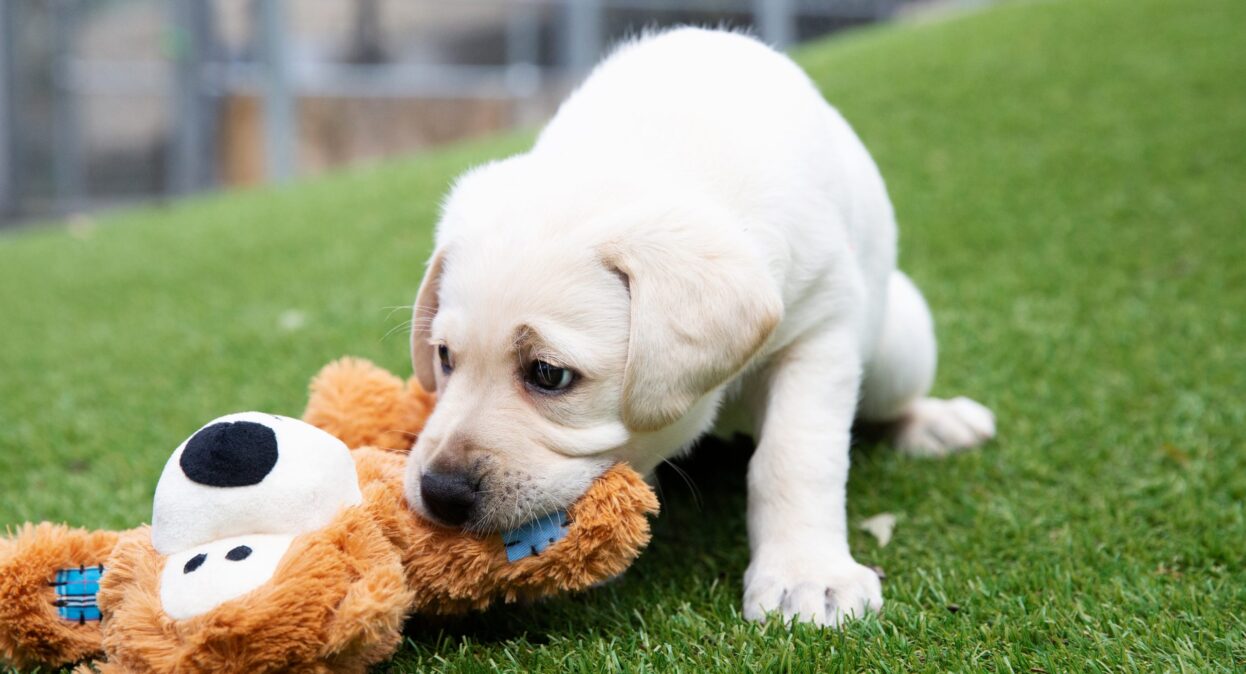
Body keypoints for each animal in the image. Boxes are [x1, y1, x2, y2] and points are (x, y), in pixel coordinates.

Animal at [406, 26, 991, 625]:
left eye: (549, 375)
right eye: (444, 357)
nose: (439, 492)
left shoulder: (820, 329)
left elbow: (795, 457)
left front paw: (807, 575)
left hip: (899, 347)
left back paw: (935, 422)